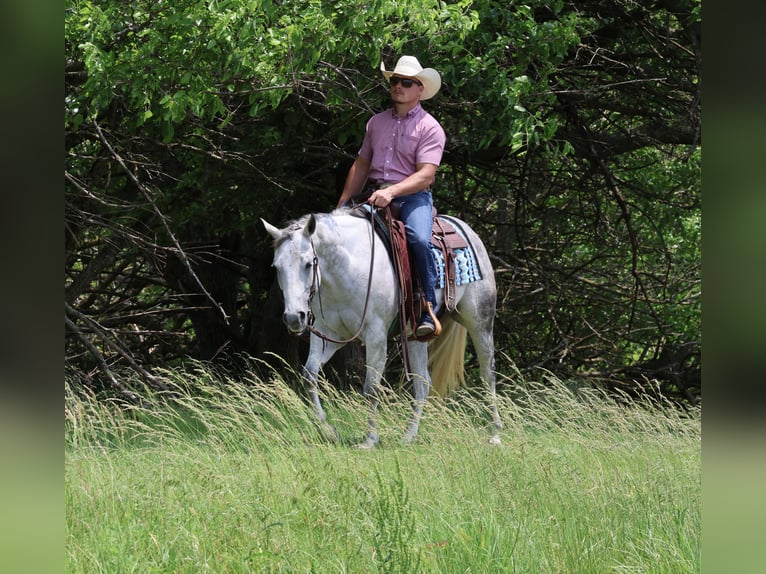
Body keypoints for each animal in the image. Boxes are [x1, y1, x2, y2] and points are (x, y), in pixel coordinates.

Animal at [262, 208, 502, 448]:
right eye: (276, 267)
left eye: (308, 264)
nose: (294, 317)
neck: (348, 267)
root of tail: (463, 228)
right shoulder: (328, 335)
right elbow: (309, 376)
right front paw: (330, 431)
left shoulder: (375, 335)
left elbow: (371, 387)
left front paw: (369, 440)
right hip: (415, 338)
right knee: (423, 383)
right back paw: (408, 436)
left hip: (480, 322)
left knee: (487, 373)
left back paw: (495, 433)